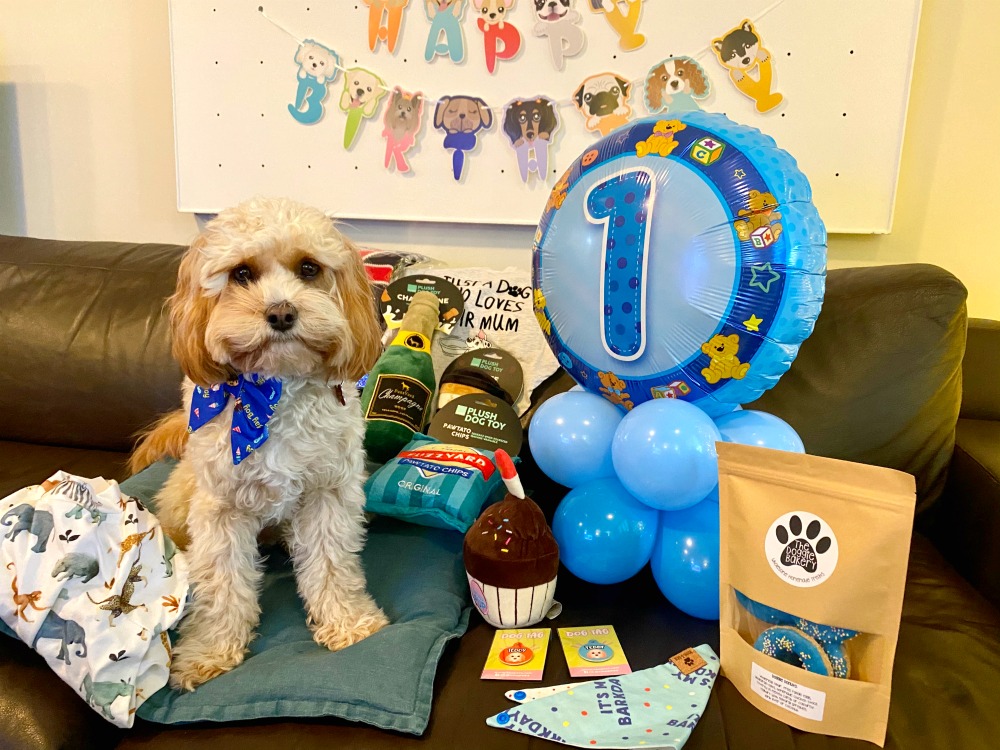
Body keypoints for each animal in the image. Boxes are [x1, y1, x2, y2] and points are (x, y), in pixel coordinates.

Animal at [130, 195, 386, 692]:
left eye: (309, 268)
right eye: (242, 273)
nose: (282, 313)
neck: (273, 391)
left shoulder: (328, 493)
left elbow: (331, 565)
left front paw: (348, 623)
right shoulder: (220, 511)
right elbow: (221, 585)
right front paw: (208, 652)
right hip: (183, 496)